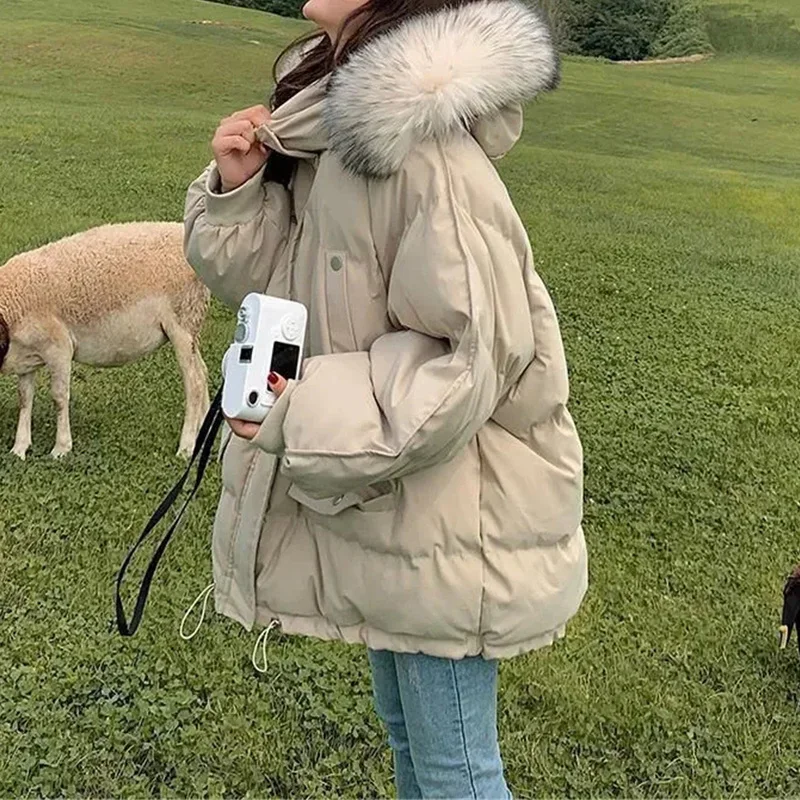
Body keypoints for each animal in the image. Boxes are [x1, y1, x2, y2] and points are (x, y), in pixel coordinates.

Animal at [0, 222, 209, 460]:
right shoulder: (26, 358)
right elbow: (24, 399)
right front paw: (19, 448)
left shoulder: (59, 348)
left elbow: (59, 397)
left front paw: (61, 448)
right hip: (193, 325)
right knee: (203, 373)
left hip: (183, 321)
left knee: (194, 383)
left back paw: (186, 447)